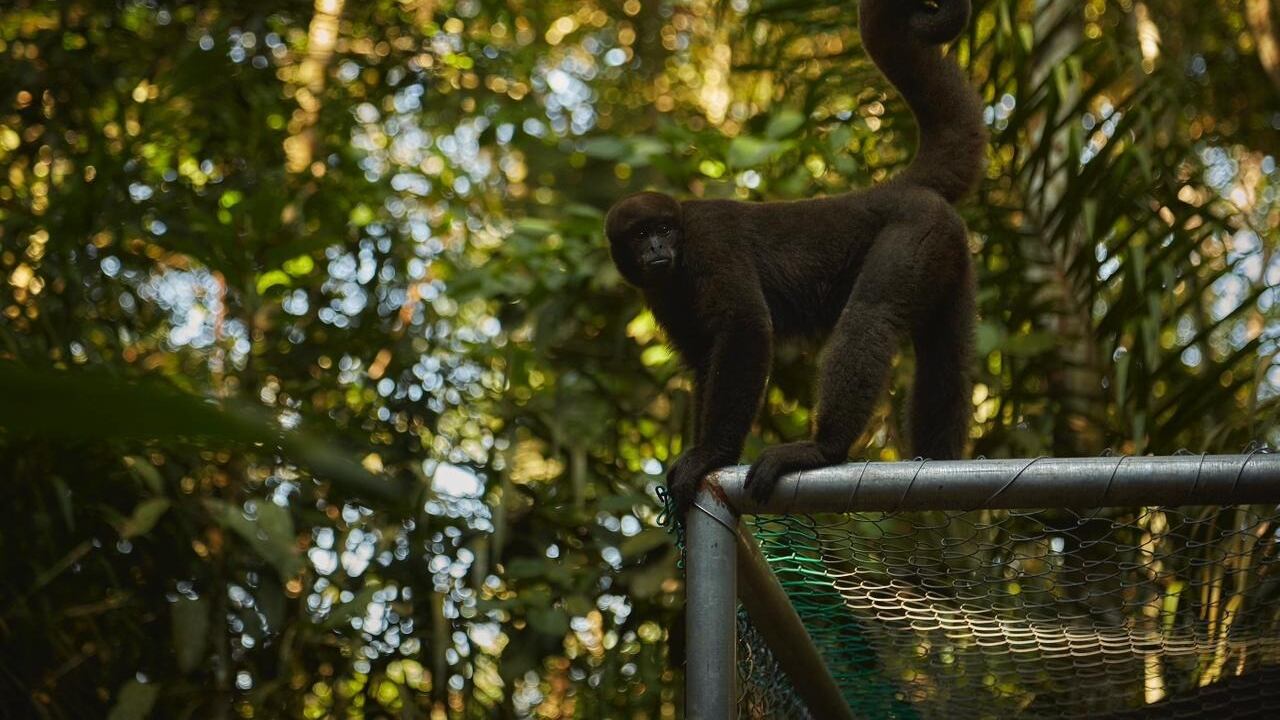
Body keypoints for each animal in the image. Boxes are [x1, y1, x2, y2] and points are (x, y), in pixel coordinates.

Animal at [606, 0, 986, 516]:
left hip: (918, 232)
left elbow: (745, 327)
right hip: (949, 248)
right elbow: (704, 357)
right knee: (946, 353)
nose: (658, 249)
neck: (681, 255)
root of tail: (895, 189)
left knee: (872, 315)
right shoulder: (660, 292)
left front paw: (711, 455)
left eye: (663, 230)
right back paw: (937, 461)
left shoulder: (708, 243)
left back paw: (824, 448)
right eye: (641, 235)